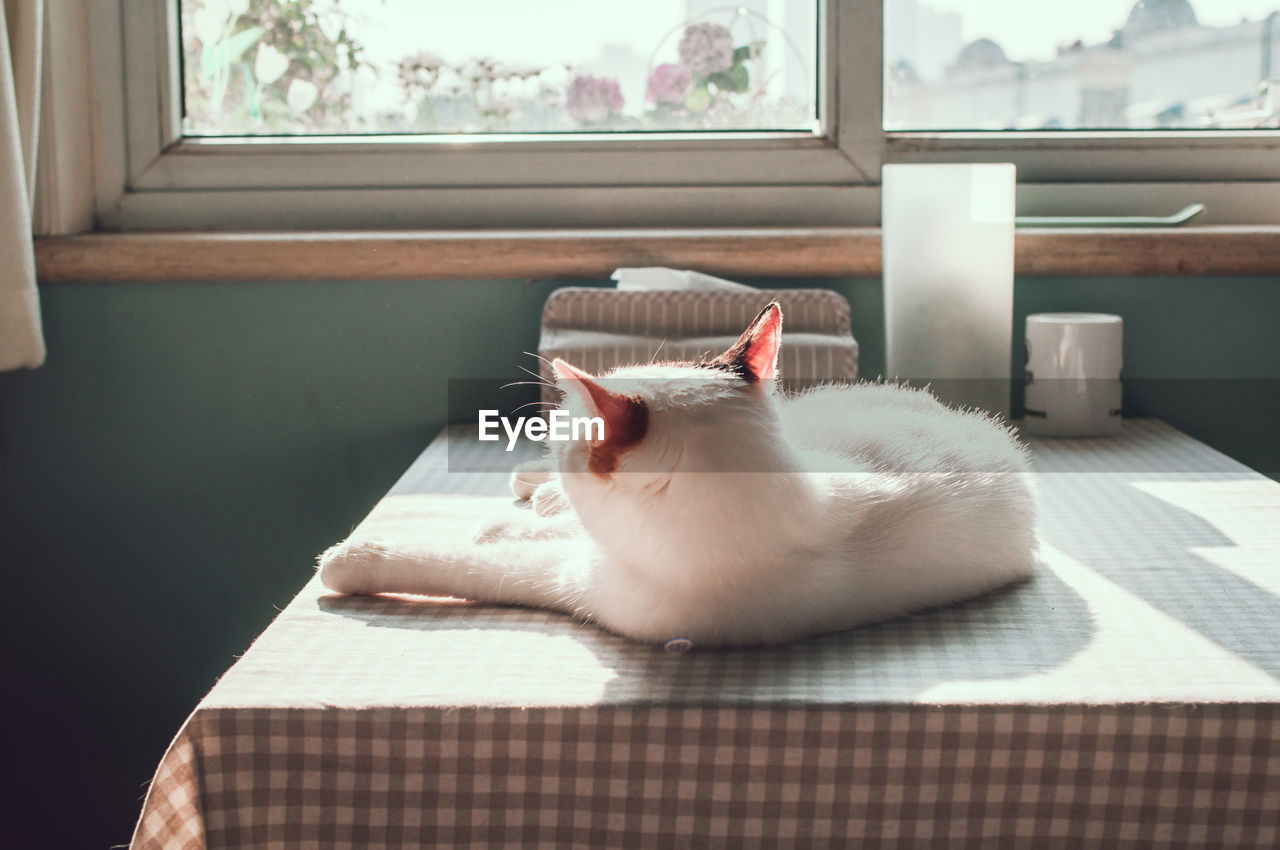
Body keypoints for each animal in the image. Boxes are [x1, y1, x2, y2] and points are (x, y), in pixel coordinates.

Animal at [320, 302, 1039, 647]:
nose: (558, 441)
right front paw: (522, 509)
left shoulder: (579, 581)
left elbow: (464, 564)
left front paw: (353, 558)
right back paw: (531, 485)